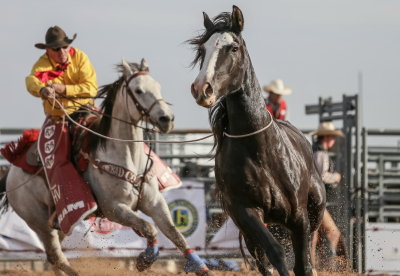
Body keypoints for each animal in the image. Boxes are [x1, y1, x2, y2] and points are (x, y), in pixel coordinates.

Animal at [0, 58, 211, 276]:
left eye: (157, 86)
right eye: (138, 90)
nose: (166, 119)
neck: (126, 156)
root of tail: (11, 173)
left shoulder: (154, 203)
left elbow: (174, 233)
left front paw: (200, 267)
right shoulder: (113, 209)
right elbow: (149, 228)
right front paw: (145, 260)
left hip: (61, 222)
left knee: (54, 256)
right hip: (39, 222)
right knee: (55, 256)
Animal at [190, 4, 324, 276]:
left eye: (233, 48)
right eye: (202, 50)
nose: (202, 89)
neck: (260, 151)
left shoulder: (299, 217)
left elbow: (303, 264)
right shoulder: (247, 213)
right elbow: (276, 253)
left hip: (316, 206)